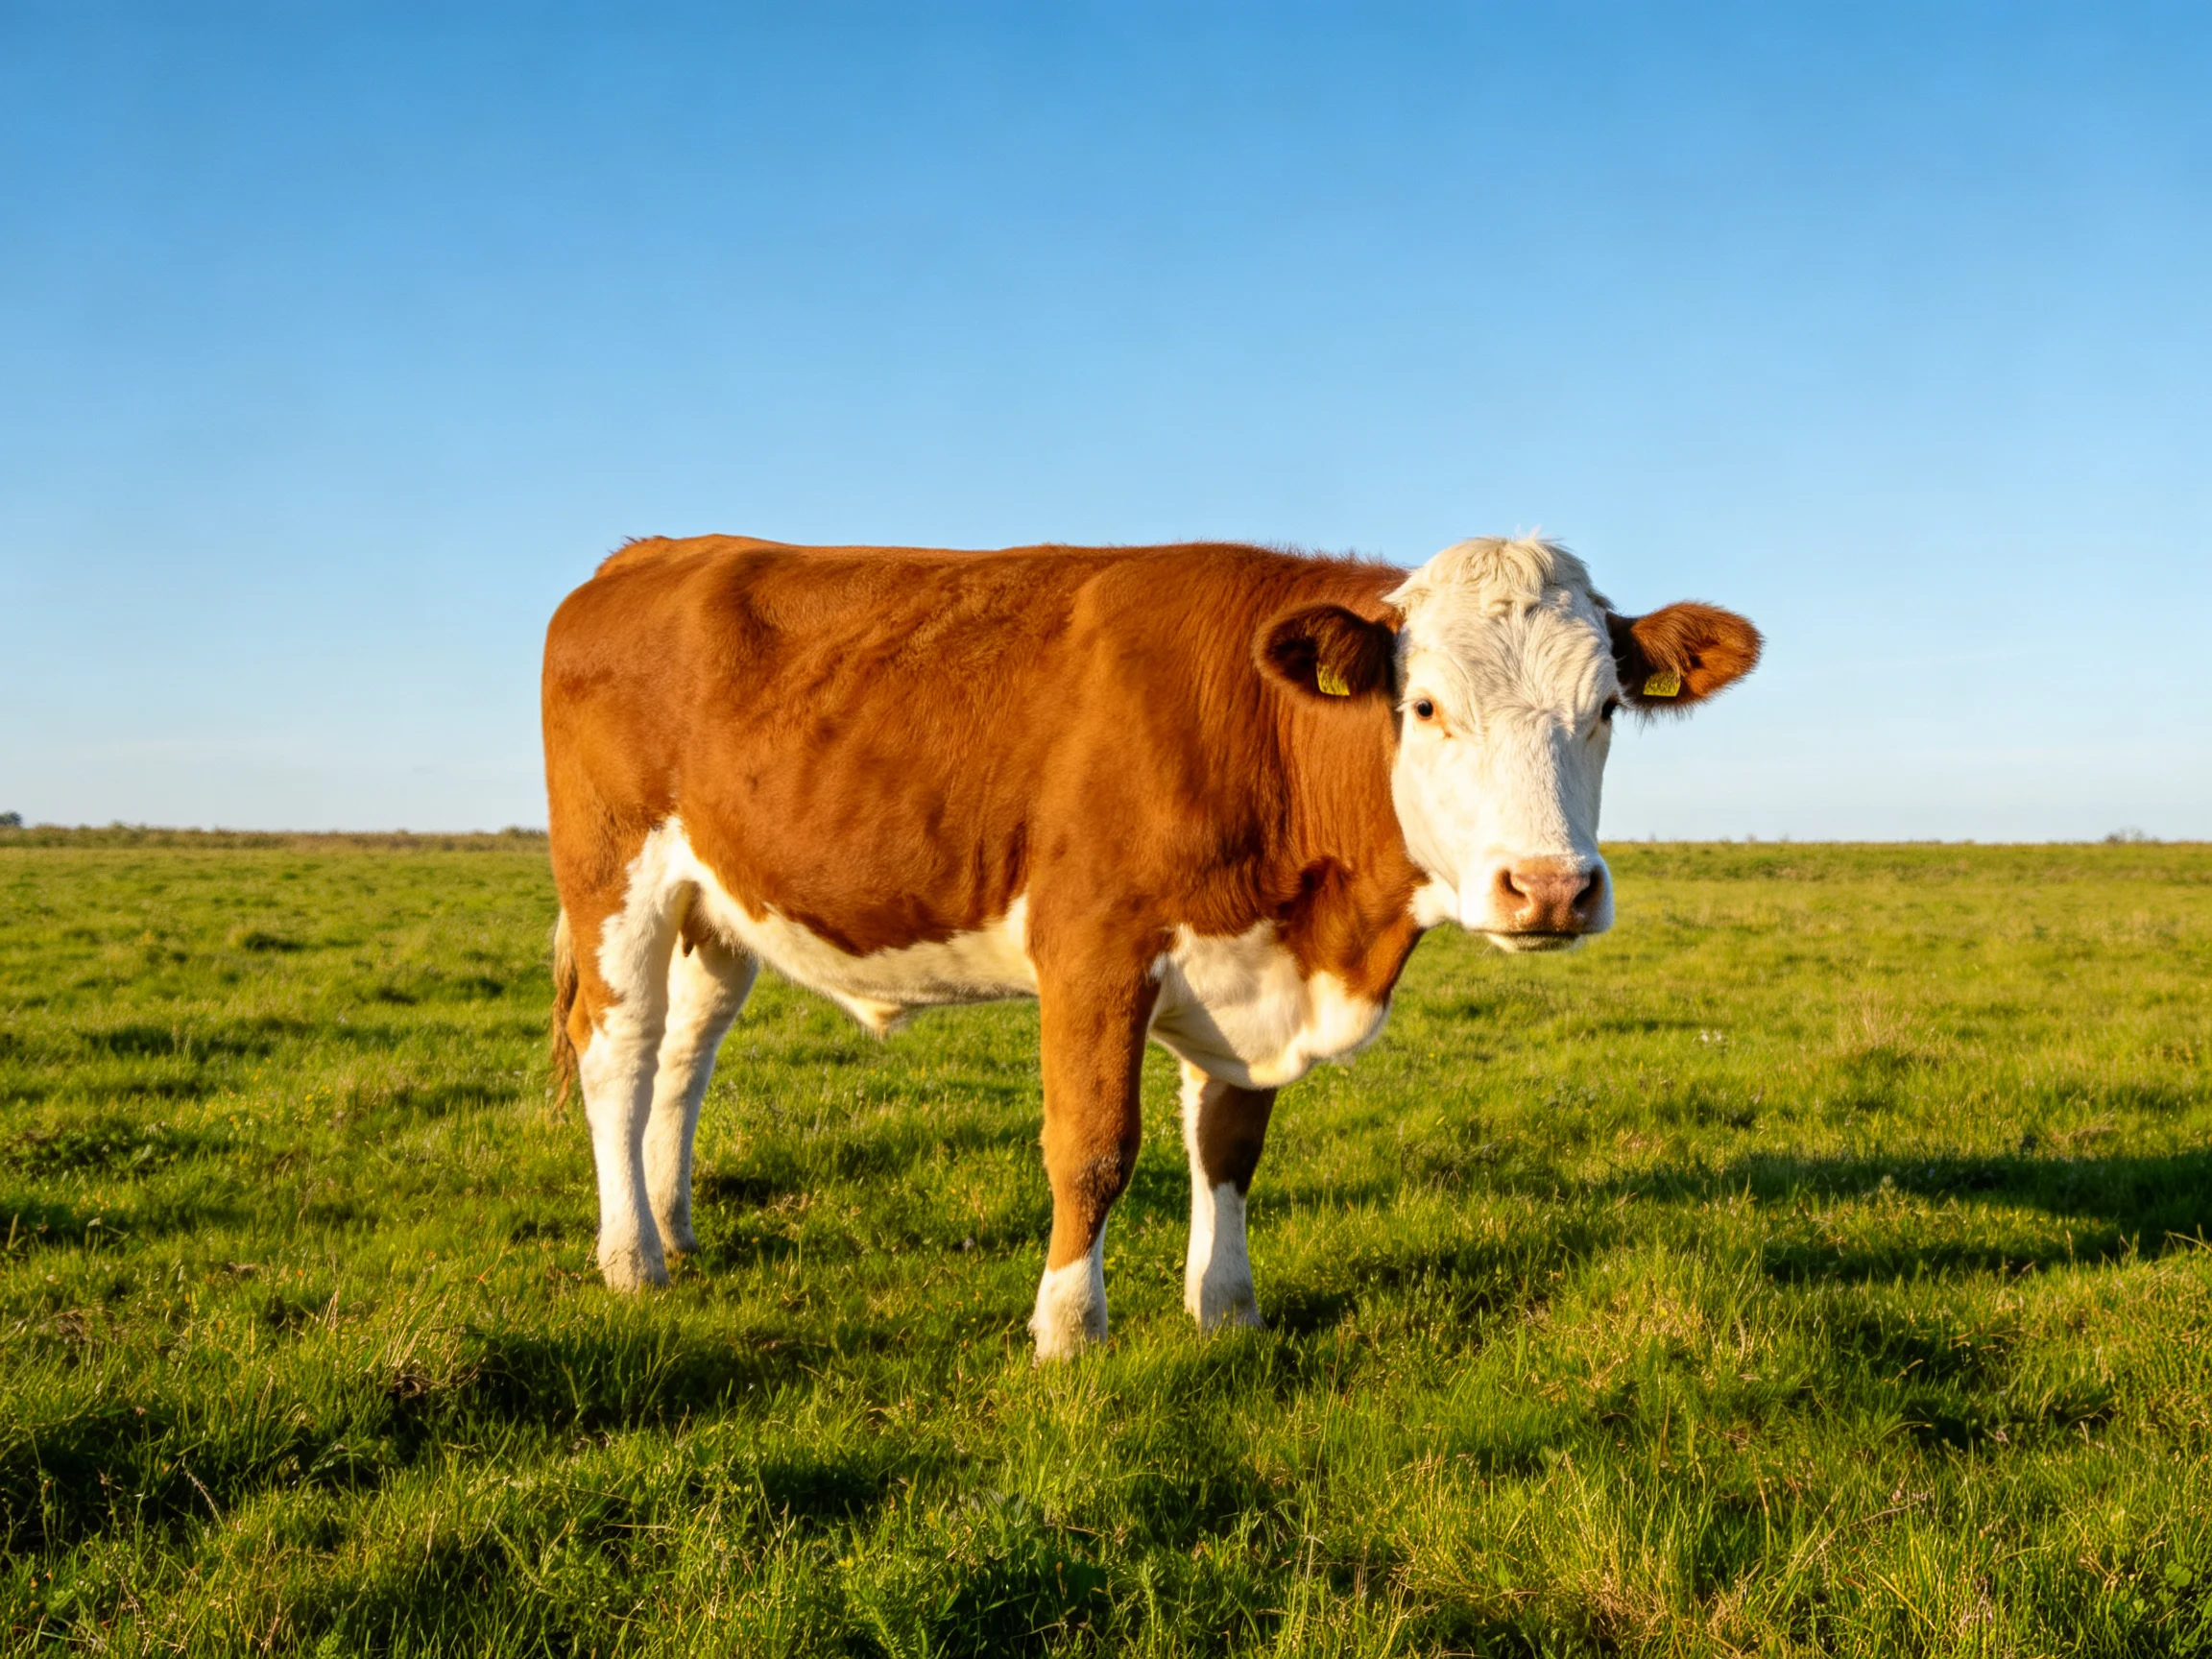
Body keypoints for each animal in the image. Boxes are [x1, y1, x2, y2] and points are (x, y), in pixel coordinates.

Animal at [542, 534, 1759, 1358]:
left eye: (1606, 707)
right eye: (1422, 706)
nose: (1550, 888)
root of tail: (652, 550)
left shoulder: (1249, 963)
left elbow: (1227, 1146)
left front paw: (1225, 1309)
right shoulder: (1092, 950)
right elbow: (1092, 1146)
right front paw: (1068, 1330)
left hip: (716, 910)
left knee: (685, 1060)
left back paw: (676, 1227)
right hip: (614, 878)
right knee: (619, 1056)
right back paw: (631, 1259)